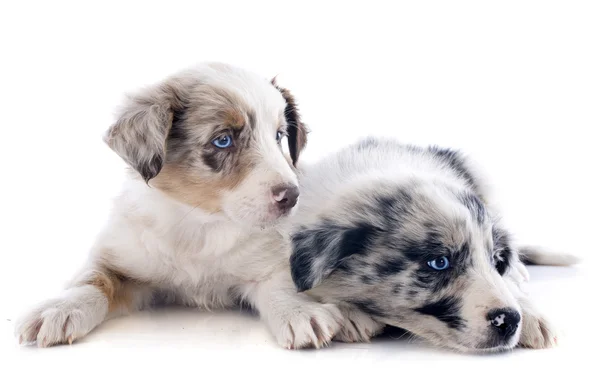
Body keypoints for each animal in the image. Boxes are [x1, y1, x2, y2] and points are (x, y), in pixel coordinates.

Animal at [15, 62, 342, 350]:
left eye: (278, 136)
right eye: (223, 140)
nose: (293, 196)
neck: (199, 223)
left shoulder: (267, 259)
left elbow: (281, 285)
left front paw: (299, 311)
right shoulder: (122, 256)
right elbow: (92, 280)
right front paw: (60, 307)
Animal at [288, 137, 580, 352]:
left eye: (495, 261)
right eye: (439, 262)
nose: (509, 320)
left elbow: (506, 282)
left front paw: (531, 315)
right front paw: (349, 313)